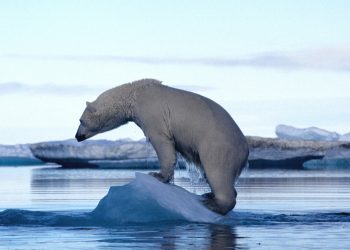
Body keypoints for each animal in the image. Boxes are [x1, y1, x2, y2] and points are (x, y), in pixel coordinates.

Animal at [75, 78, 247, 215]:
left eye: (80, 120)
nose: (77, 136)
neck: (135, 94)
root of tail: (245, 147)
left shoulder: (152, 112)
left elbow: (161, 141)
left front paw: (157, 175)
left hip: (217, 144)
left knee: (217, 171)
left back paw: (214, 204)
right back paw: (209, 195)